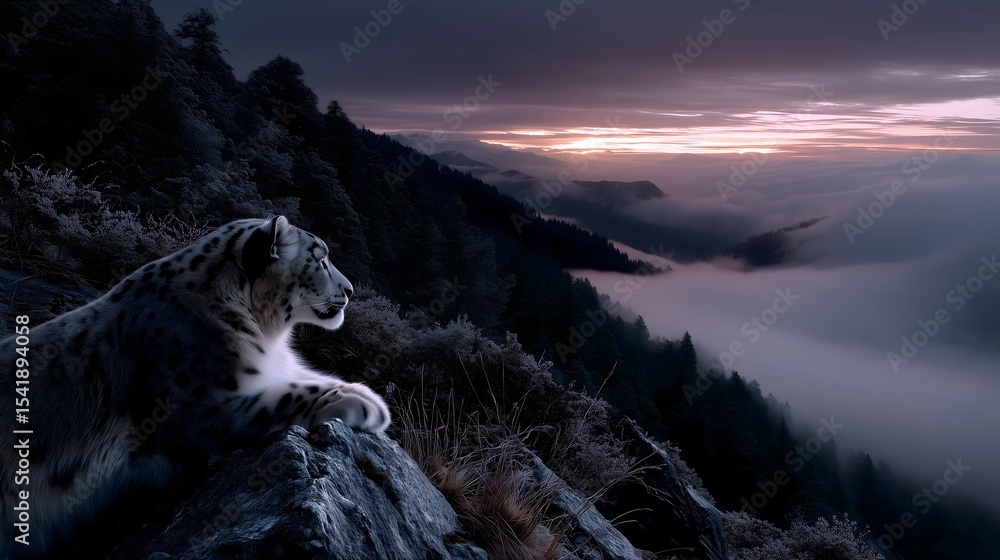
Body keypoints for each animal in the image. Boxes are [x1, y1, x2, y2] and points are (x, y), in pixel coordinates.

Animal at [0, 216, 389, 557]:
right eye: (320, 259)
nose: (349, 291)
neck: (268, 337)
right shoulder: (198, 407)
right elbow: (284, 397)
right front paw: (364, 404)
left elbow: (309, 379)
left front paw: (365, 393)